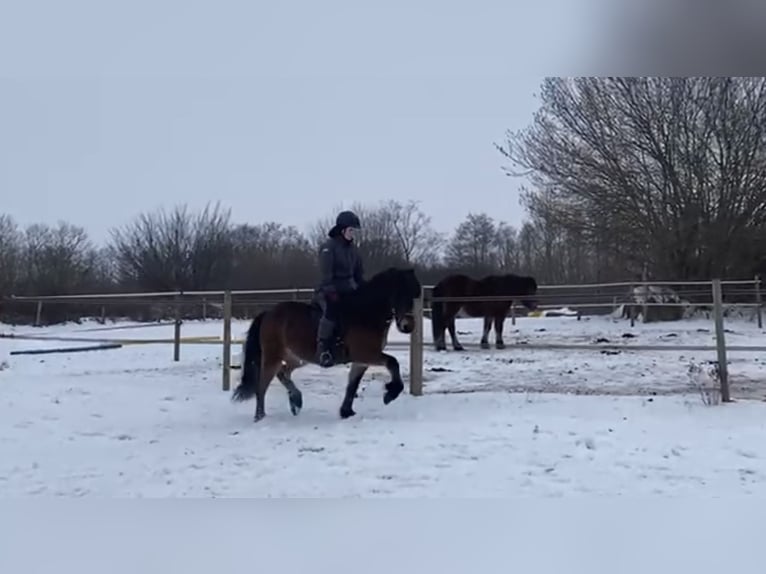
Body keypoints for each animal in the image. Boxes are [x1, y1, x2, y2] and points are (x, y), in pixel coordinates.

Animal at [231, 267, 422, 422]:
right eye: (401, 293)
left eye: (415, 295)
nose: (408, 326)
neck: (365, 314)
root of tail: (269, 313)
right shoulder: (367, 354)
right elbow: (392, 362)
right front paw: (390, 393)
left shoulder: (361, 361)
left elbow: (353, 384)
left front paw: (346, 412)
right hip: (273, 356)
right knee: (262, 385)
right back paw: (260, 416)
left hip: (296, 358)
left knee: (283, 372)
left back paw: (296, 401)